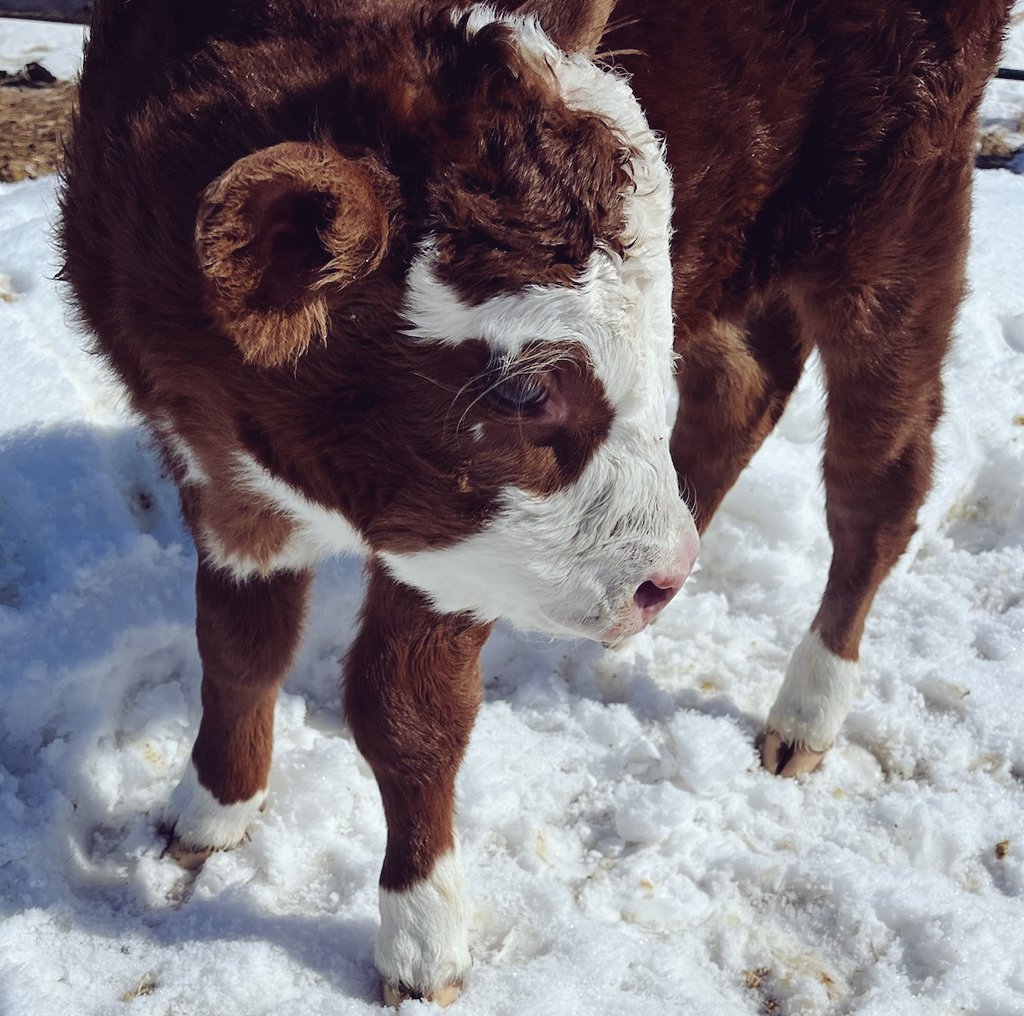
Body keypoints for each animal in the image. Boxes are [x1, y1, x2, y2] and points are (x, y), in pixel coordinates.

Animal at [59, 0, 1012, 1005]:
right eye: (523, 390)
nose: (660, 576)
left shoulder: (451, 546)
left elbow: (406, 715)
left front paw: (422, 935)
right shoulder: (215, 472)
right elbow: (239, 648)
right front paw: (210, 808)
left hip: (896, 230)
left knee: (880, 485)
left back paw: (805, 708)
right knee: (747, 387)